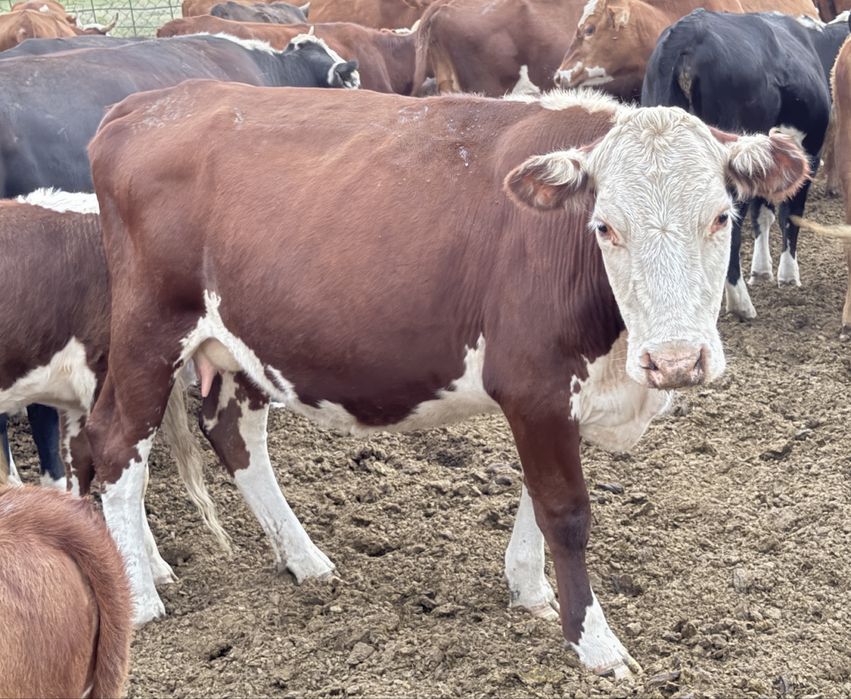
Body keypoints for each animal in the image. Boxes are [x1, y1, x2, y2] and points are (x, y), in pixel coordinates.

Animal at [86, 81, 808, 675]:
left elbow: (534, 497)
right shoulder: (534, 384)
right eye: (604, 226)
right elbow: (565, 510)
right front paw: (594, 643)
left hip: (243, 342)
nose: (676, 359)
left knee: (232, 433)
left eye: (721, 216)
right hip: (150, 329)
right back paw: (142, 596)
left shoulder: (556, 399)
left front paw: (528, 588)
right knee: (117, 442)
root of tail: (145, 103)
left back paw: (304, 559)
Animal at [642, 10, 847, 319]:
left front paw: (761, 271)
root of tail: (686, 33)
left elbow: (762, 212)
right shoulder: (809, 150)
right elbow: (790, 212)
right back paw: (740, 304)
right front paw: (788, 274)